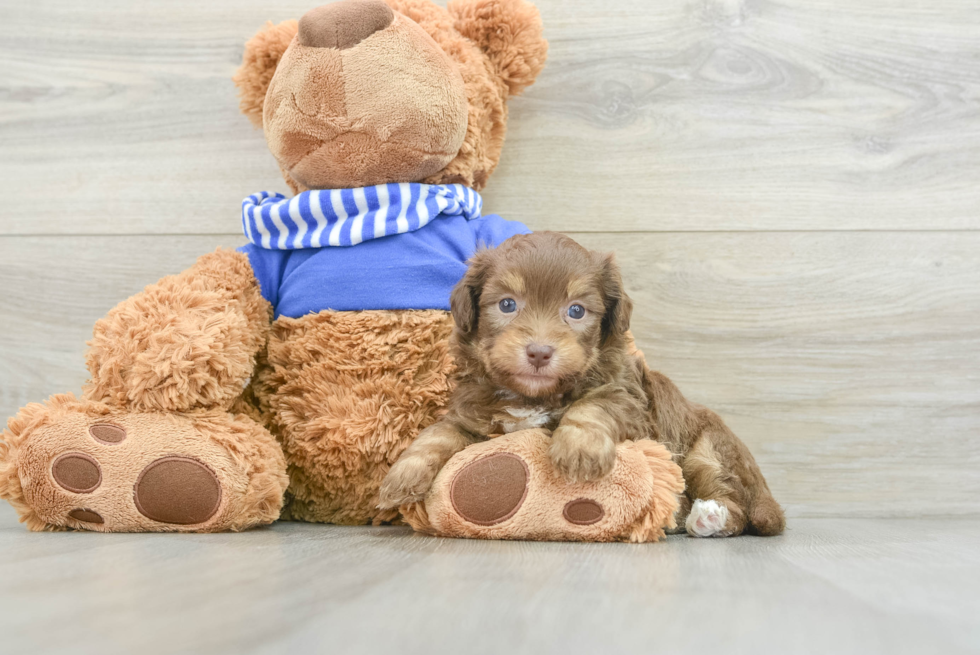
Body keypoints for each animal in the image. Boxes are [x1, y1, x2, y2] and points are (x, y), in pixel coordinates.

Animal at [378, 232, 784, 540]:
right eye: (507, 305)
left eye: (576, 311)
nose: (539, 352)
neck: (532, 394)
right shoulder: (473, 414)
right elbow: (439, 431)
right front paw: (403, 474)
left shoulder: (629, 400)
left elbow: (592, 406)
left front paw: (578, 449)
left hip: (709, 449)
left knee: (733, 502)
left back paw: (708, 517)